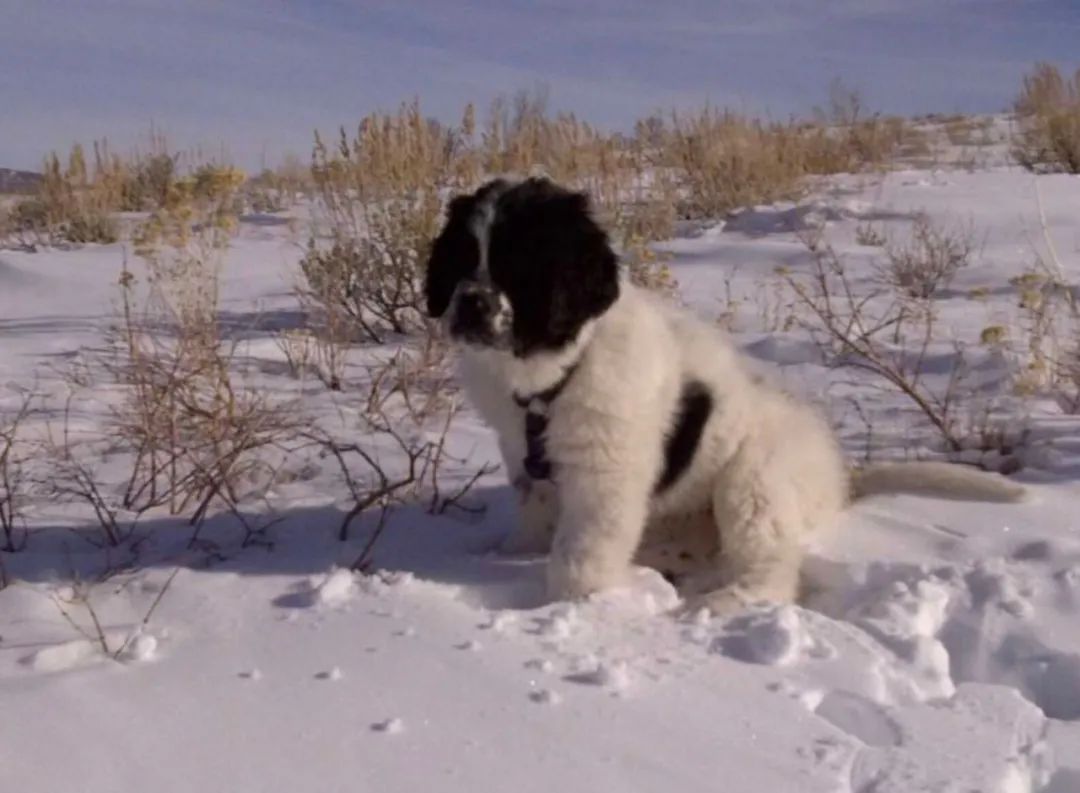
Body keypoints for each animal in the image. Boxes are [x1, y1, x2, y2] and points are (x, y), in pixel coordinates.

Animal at [419, 178, 1019, 613]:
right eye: (461, 258)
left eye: (519, 266)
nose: (470, 303)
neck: (557, 371)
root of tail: (841, 478)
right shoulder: (524, 455)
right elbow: (535, 511)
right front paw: (508, 554)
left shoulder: (605, 473)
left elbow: (580, 553)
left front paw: (570, 607)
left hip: (753, 481)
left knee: (770, 564)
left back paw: (722, 604)